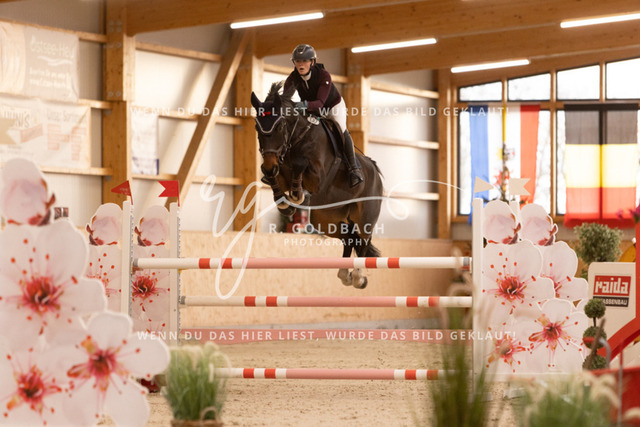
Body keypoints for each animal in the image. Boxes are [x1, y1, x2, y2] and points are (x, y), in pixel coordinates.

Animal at [251, 82, 384, 289]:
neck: (296, 138)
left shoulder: (317, 177)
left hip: (364, 216)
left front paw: (298, 195)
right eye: (257, 126)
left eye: (279, 126)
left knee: (363, 239)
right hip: (326, 220)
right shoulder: (280, 170)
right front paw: (285, 204)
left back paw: (358, 277)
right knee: (349, 238)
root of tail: (375, 171)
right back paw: (344, 274)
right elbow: (276, 180)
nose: (269, 166)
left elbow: (301, 164)